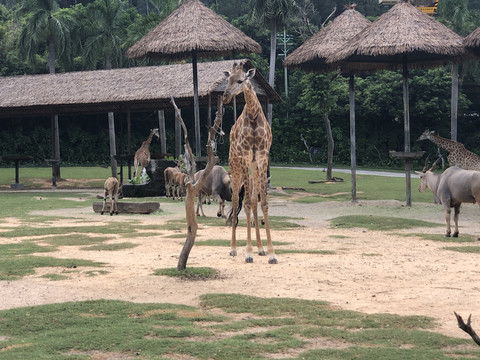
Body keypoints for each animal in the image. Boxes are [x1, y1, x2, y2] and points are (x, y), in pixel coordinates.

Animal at [222, 60, 278, 264]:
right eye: (227, 79)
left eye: (240, 80)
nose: (225, 96)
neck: (253, 116)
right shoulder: (245, 158)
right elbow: (244, 204)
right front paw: (248, 253)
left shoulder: (262, 158)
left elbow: (263, 204)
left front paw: (271, 253)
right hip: (235, 165)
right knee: (236, 201)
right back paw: (233, 249)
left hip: (253, 170)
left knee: (253, 201)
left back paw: (260, 249)